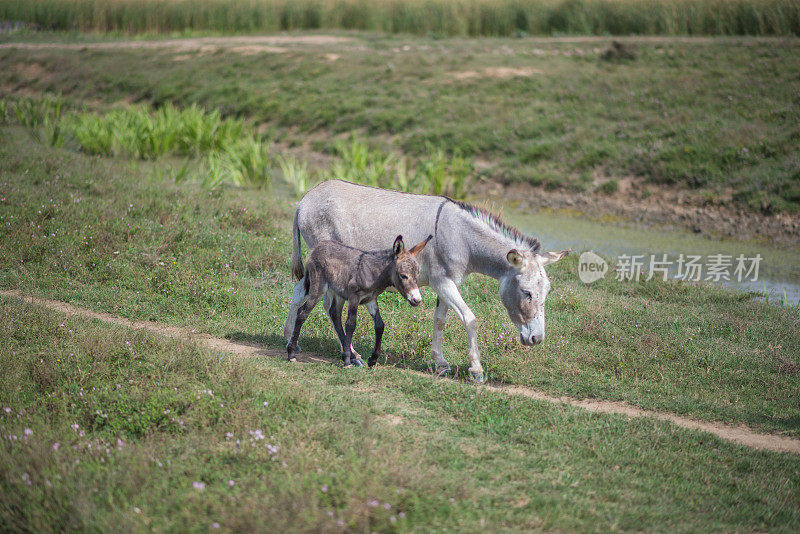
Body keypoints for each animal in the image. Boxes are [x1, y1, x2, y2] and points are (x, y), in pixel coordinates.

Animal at [288, 234, 432, 368]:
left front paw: (373, 359)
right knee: (302, 313)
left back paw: (353, 356)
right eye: (403, 275)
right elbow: (351, 324)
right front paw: (346, 361)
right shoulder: (354, 297)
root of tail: (317, 247)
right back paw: (291, 353)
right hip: (319, 288)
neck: (374, 273)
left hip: (337, 292)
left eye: (418, 274)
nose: (417, 299)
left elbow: (380, 325)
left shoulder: (371, 299)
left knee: (334, 314)